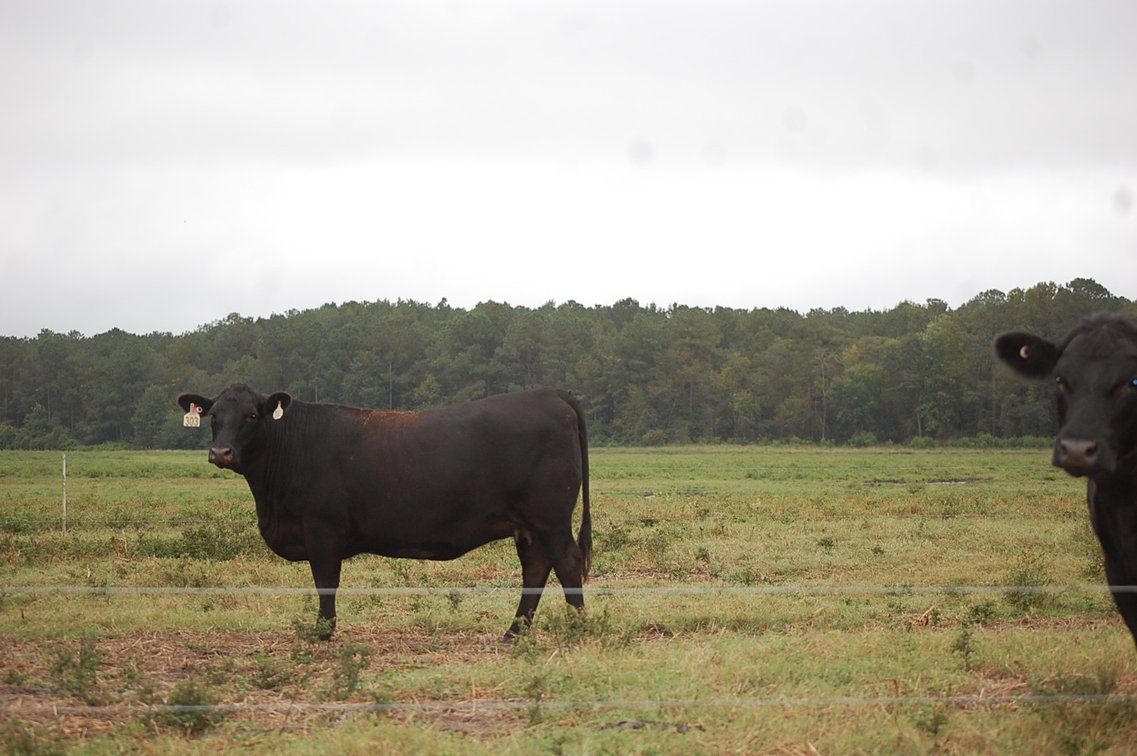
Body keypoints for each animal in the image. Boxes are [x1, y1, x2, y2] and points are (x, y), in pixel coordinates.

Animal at [176, 384, 591, 641]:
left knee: (566, 562)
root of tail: (550, 394)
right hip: (528, 525)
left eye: (251, 416)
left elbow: (325, 581)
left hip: (550, 518)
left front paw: (323, 633)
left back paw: (579, 629)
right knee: (536, 568)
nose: (221, 452)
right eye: (214, 416)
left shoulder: (322, 529)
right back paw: (513, 633)